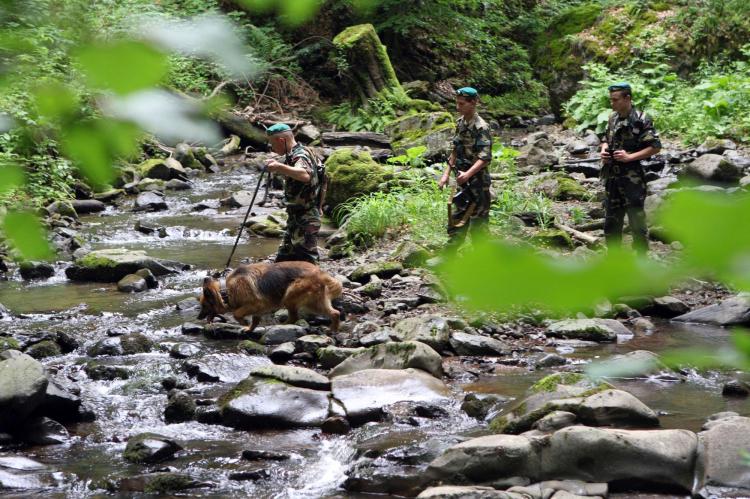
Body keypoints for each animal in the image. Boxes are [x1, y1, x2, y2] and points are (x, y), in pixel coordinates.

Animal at [198, 261, 343, 332]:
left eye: (204, 305)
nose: (198, 318)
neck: (225, 291)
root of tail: (320, 273)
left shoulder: (254, 304)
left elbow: (236, 313)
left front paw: (244, 322)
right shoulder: (257, 309)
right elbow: (255, 320)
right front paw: (249, 328)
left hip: (289, 296)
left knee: (294, 317)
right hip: (314, 303)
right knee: (335, 313)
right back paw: (334, 329)